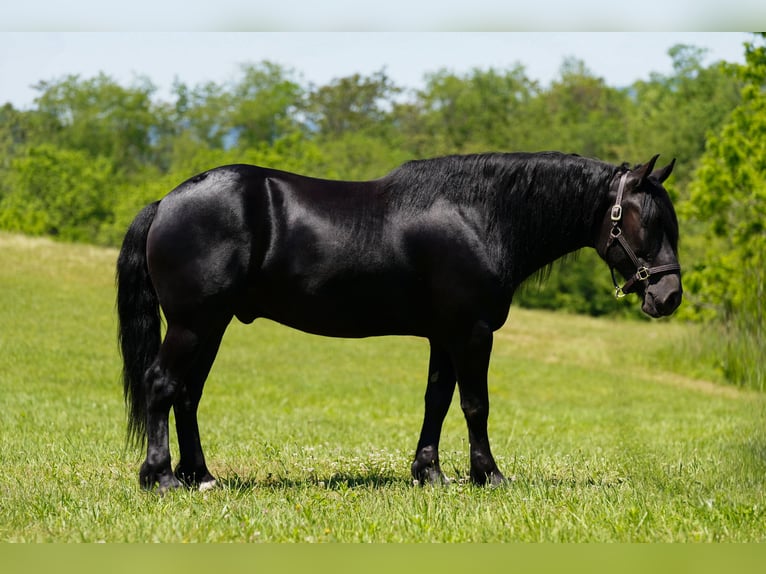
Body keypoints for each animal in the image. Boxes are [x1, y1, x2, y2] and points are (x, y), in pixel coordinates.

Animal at [116, 151, 682, 491]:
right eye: (648, 222)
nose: (669, 296)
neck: (478, 216)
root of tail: (165, 202)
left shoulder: (444, 335)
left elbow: (437, 400)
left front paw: (428, 473)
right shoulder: (472, 332)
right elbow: (476, 405)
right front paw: (489, 475)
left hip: (211, 326)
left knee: (188, 395)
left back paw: (200, 476)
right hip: (192, 324)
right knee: (162, 384)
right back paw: (161, 478)